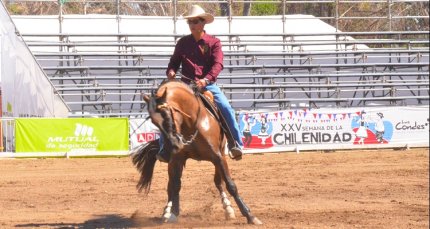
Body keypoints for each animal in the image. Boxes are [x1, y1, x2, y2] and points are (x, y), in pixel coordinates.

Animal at [129, 79, 262, 225]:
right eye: (153, 121)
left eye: (166, 114)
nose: (174, 145)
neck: (191, 123)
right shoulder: (177, 159)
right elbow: (176, 185)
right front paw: (173, 214)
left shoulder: (218, 157)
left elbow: (230, 185)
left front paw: (250, 216)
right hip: (171, 162)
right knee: (171, 185)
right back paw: (166, 212)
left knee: (218, 182)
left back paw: (228, 209)